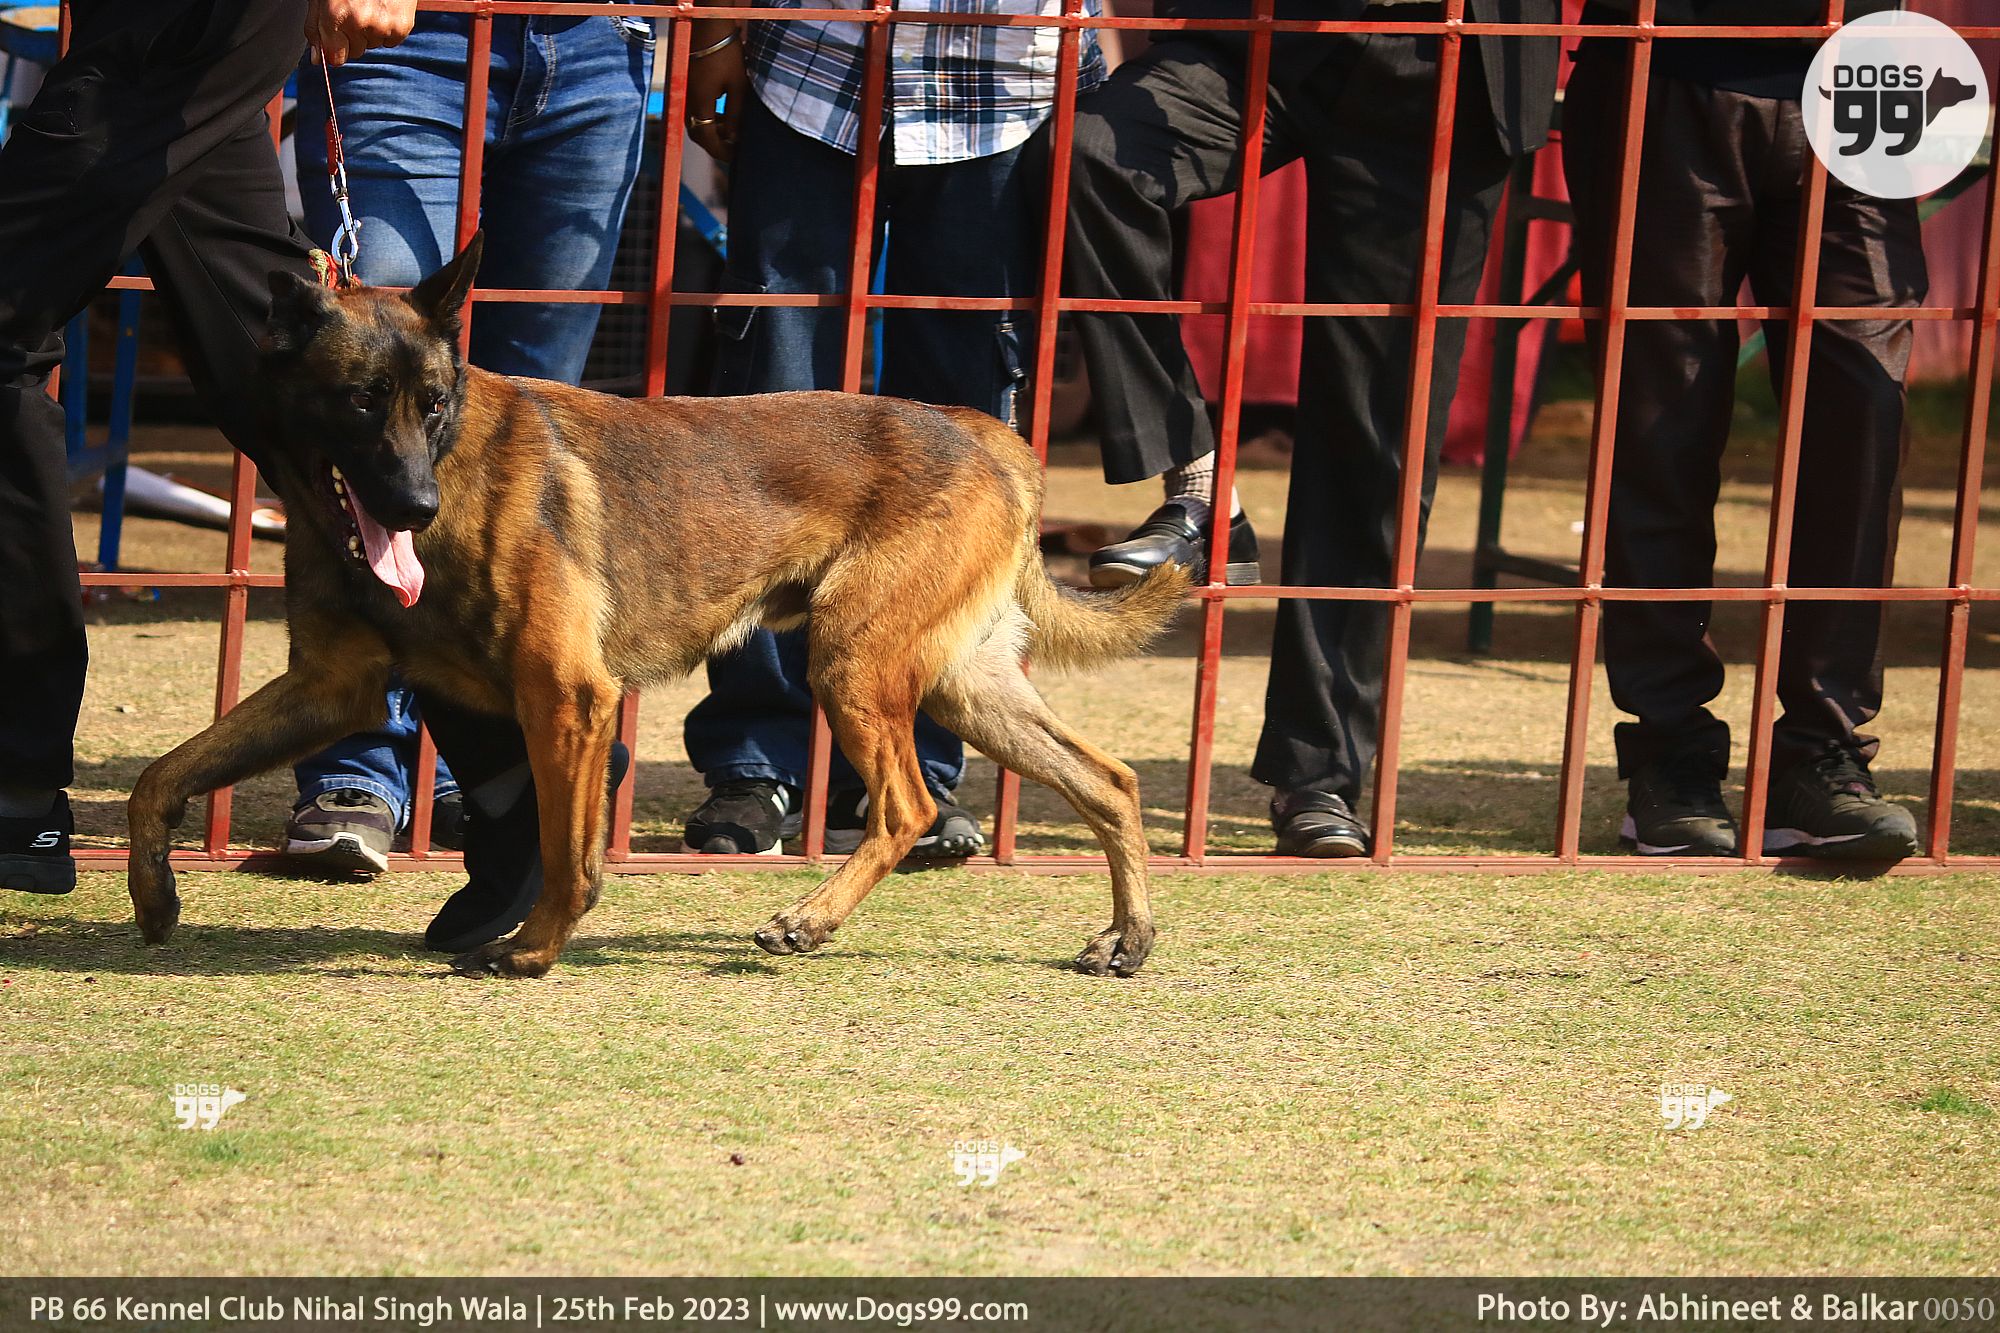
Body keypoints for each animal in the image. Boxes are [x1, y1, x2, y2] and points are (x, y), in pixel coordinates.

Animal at [125, 234, 1188, 978]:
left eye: (432, 404)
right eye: (358, 401)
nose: (415, 507)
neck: (453, 473)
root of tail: (985, 433)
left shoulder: (566, 696)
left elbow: (567, 853)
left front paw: (534, 948)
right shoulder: (330, 689)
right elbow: (161, 775)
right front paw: (151, 893)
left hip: (852, 663)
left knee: (910, 804)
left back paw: (808, 920)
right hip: (963, 686)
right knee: (1110, 781)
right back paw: (1128, 937)